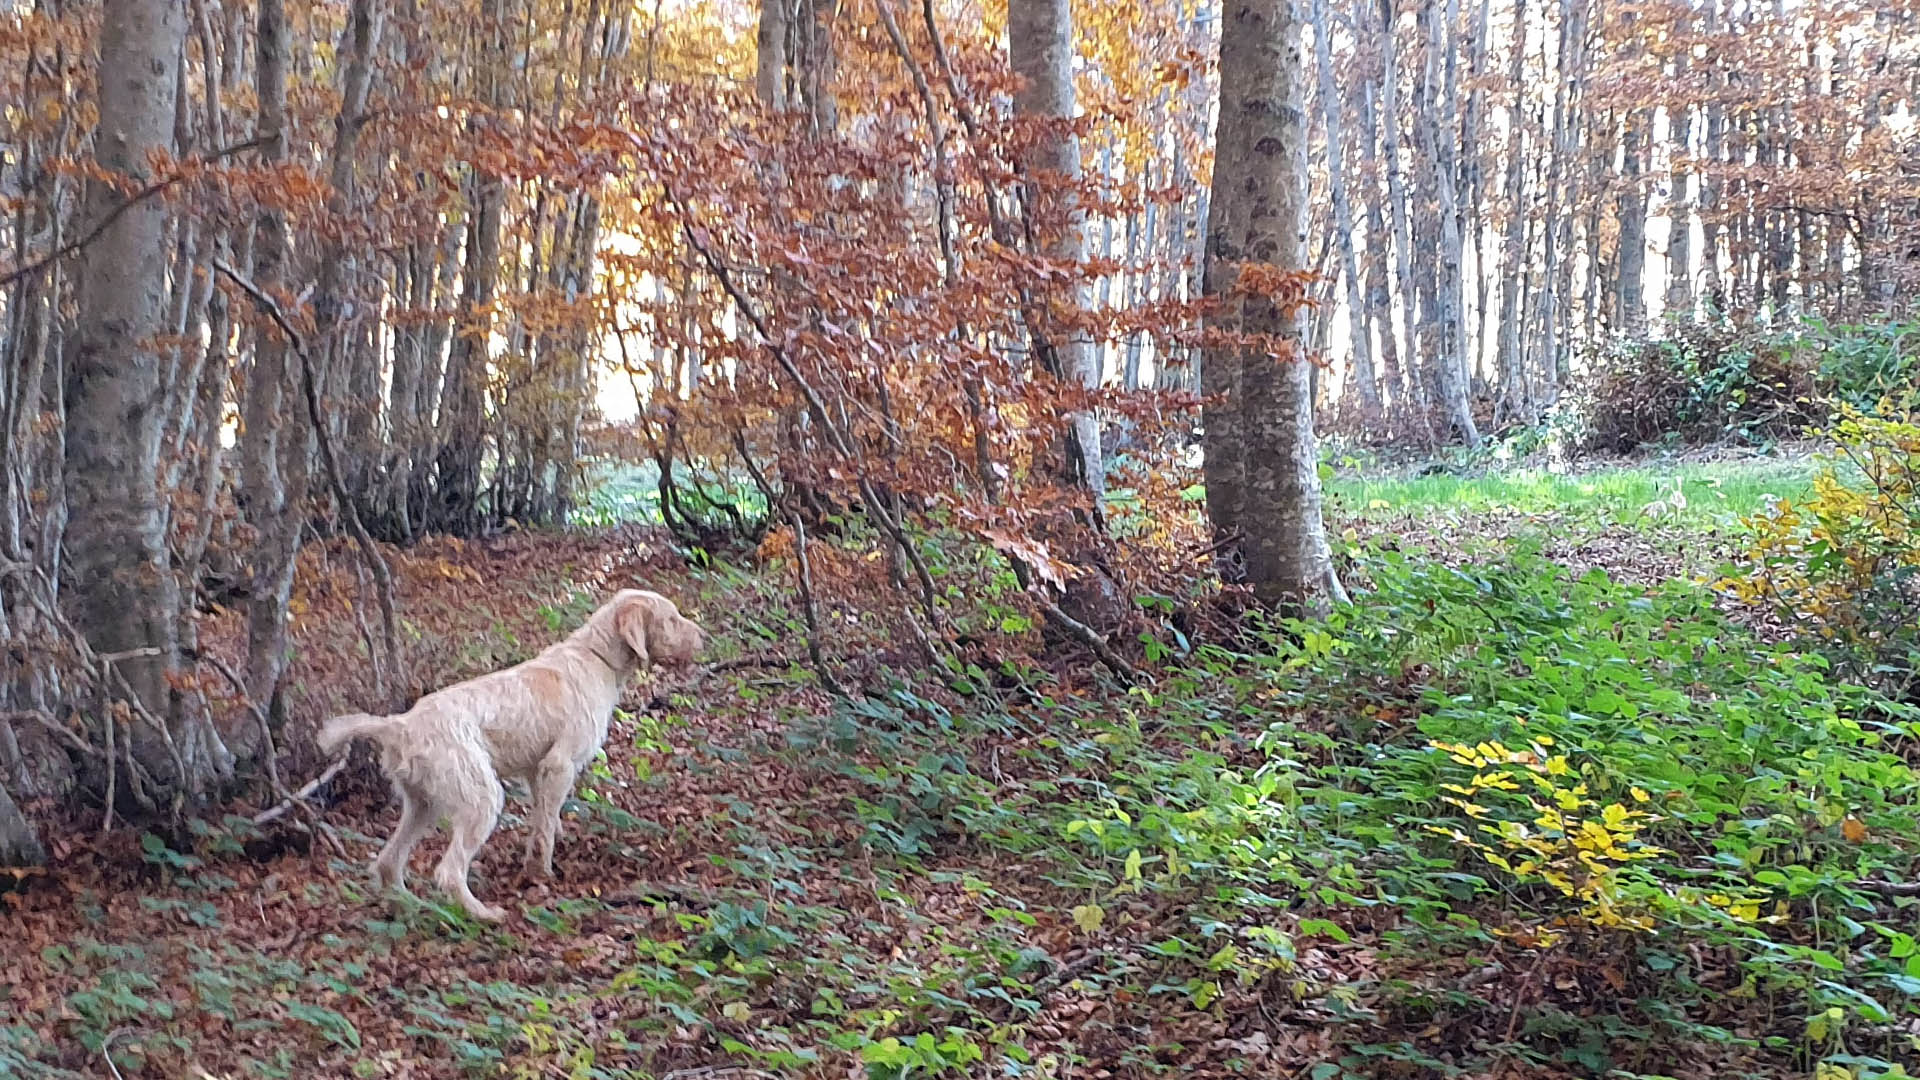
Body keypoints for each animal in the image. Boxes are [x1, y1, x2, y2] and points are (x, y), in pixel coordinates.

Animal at [318, 588, 710, 914]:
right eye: (671, 619)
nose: (703, 637)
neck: (596, 656)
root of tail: (400, 725)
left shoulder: (537, 770)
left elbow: (544, 820)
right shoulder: (559, 765)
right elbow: (546, 826)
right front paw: (542, 872)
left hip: (424, 804)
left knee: (388, 862)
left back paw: (409, 907)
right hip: (481, 797)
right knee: (448, 872)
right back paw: (483, 914)